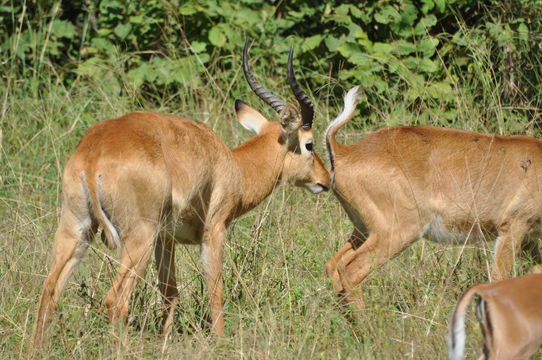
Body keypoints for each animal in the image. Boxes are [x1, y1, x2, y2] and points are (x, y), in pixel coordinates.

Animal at [34, 40, 332, 350]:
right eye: (309, 144)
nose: (325, 180)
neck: (234, 166)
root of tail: (93, 154)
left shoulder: (166, 240)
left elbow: (170, 292)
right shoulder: (214, 231)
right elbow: (215, 290)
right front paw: (219, 341)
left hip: (76, 228)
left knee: (49, 292)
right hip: (138, 237)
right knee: (114, 301)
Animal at [326, 86, 542, 308]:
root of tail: (344, 152)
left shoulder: (530, 237)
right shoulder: (514, 226)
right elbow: (499, 278)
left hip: (363, 229)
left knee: (333, 264)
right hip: (400, 230)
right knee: (350, 269)